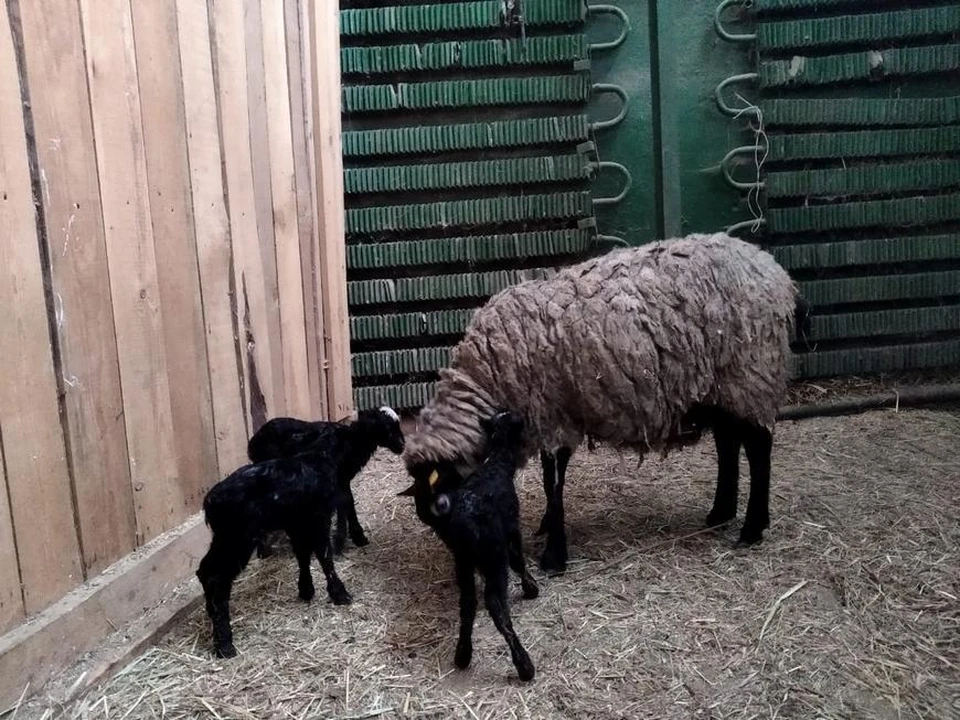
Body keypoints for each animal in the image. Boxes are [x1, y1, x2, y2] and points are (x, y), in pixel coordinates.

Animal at [398, 410, 540, 680]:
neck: (495, 464)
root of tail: (464, 523)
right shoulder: (511, 530)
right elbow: (518, 560)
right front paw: (531, 588)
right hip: (494, 560)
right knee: (497, 607)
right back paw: (524, 664)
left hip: (463, 562)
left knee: (467, 604)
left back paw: (463, 654)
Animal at [402, 231, 808, 572]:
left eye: (442, 505)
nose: (467, 560)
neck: (488, 377)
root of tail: (775, 272)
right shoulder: (547, 418)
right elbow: (551, 481)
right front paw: (547, 528)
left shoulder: (552, 416)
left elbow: (554, 482)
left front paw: (554, 555)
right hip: (719, 387)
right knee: (728, 442)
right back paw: (720, 512)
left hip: (751, 373)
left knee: (758, 447)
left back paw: (752, 528)